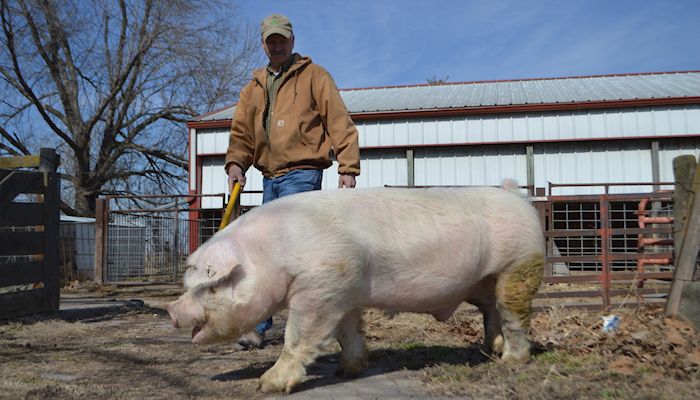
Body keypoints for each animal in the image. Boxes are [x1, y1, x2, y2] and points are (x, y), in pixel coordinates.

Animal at [170, 186, 548, 392]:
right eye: (188, 285)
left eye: (210, 287)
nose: (172, 310)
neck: (272, 253)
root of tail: (519, 201)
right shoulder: (344, 291)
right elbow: (348, 332)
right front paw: (348, 370)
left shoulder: (320, 287)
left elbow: (298, 336)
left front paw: (267, 384)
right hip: (482, 282)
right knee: (491, 310)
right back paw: (489, 352)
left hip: (519, 265)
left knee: (513, 313)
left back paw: (510, 361)